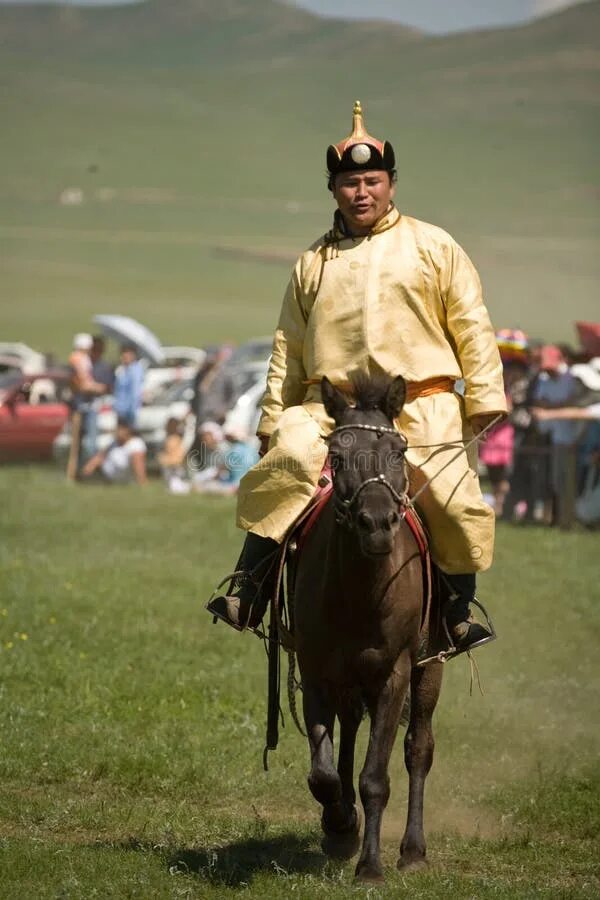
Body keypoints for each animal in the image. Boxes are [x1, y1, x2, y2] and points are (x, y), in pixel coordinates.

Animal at [292, 374, 442, 884]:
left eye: (398, 452)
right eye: (337, 456)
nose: (376, 523)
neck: (361, 593)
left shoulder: (395, 674)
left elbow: (376, 776)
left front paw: (371, 866)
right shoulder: (317, 671)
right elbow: (323, 776)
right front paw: (340, 826)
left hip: (429, 670)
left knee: (419, 749)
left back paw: (413, 849)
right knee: (350, 729)